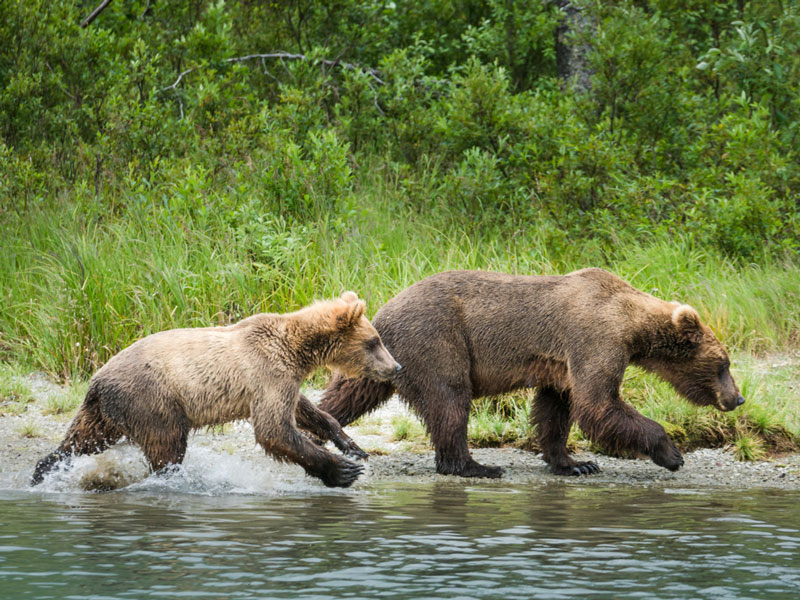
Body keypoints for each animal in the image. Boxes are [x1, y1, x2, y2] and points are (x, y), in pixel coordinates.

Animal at [31, 292, 400, 490]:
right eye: (374, 341)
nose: (396, 367)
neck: (297, 350)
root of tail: (96, 380)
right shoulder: (267, 373)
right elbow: (274, 429)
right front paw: (344, 470)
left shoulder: (282, 379)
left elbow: (303, 409)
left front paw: (351, 445)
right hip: (152, 399)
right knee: (167, 444)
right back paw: (172, 477)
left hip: (105, 411)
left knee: (80, 441)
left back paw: (42, 472)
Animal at [318, 270, 744, 478]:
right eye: (723, 365)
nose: (737, 397)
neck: (631, 325)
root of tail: (385, 310)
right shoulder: (595, 339)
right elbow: (600, 404)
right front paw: (671, 453)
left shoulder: (560, 363)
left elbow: (558, 409)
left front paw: (575, 463)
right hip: (437, 339)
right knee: (450, 400)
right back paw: (476, 466)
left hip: (378, 358)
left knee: (348, 393)